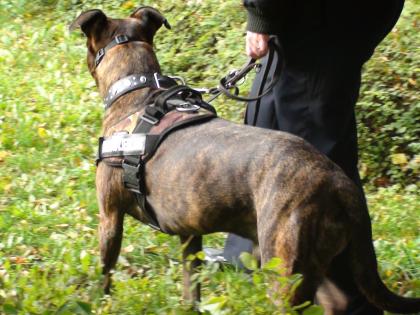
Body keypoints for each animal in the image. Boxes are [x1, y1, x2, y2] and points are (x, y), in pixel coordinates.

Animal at [70, 7, 418, 315]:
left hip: (285, 265)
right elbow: (191, 286)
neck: (137, 94)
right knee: (338, 302)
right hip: (323, 259)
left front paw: (98, 303)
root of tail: (340, 185)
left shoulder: (109, 217)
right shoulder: (189, 234)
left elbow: (104, 274)